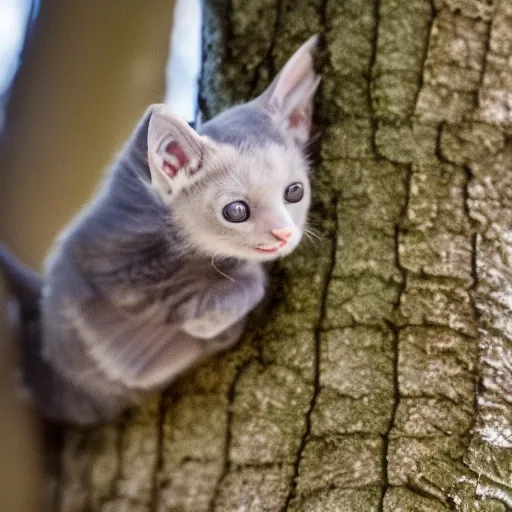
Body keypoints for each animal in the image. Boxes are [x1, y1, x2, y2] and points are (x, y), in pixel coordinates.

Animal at [0, 37, 320, 424]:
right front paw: (213, 319)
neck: (157, 218)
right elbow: (203, 296)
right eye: (236, 211)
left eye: (295, 192)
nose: (283, 234)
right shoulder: (122, 272)